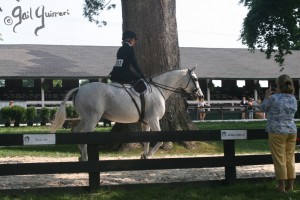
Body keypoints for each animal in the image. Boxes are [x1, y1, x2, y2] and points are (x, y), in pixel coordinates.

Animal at [51, 69, 202, 161]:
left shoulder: (146, 122)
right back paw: (85, 157)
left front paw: (145, 155)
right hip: (92, 119)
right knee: (83, 137)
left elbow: (147, 140)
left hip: (85, 119)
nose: (200, 96)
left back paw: (81, 156)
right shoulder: (153, 120)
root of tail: (79, 89)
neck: (158, 89)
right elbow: (159, 139)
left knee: (75, 131)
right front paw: (149, 155)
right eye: (195, 79)